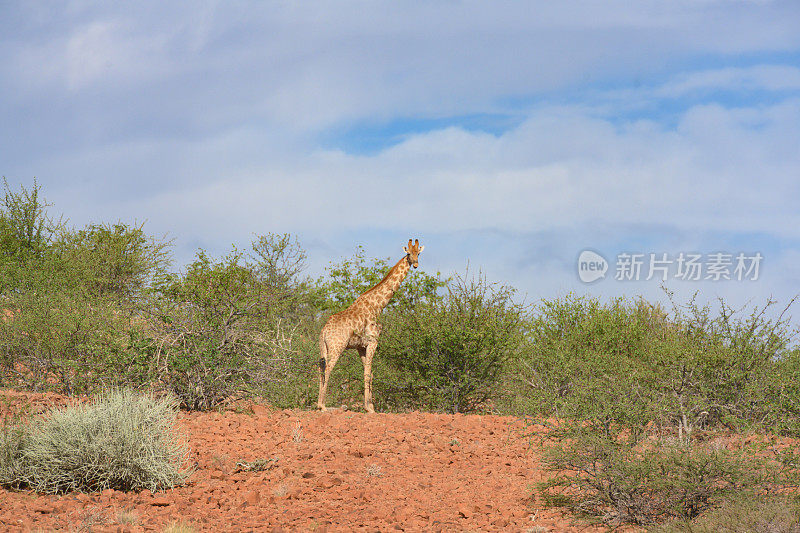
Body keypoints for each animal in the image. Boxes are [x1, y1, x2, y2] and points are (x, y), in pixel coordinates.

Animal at [316, 239, 424, 414]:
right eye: (408, 253)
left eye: (418, 253)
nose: (415, 264)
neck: (378, 305)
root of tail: (324, 331)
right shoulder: (373, 342)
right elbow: (368, 373)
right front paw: (369, 409)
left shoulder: (361, 346)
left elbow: (369, 373)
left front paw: (370, 406)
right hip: (337, 347)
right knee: (328, 369)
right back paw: (323, 405)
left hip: (323, 348)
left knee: (320, 369)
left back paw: (321, 404)